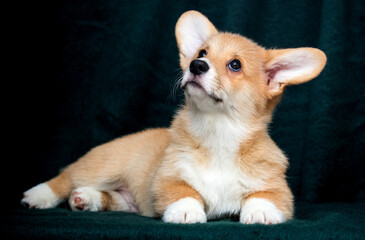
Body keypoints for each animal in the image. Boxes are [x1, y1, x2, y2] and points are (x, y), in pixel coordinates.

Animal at [21, 10, 326, 225]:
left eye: (235, 65)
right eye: (202, 53)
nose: (196, 65)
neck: (219, 130)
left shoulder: (277, 188)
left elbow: (264, 196)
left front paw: (262, 213)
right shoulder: (166, 178)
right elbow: (184, 191)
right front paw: (187, 212)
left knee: (114, 199)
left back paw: (87, 198)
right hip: (101, 166)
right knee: (65, 177)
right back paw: (39, 195)